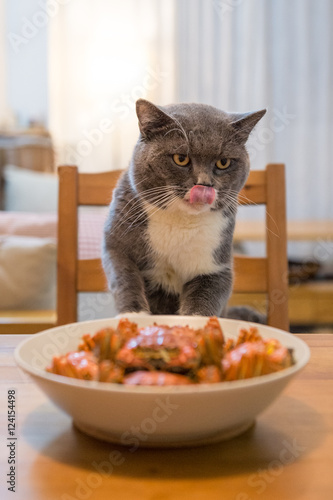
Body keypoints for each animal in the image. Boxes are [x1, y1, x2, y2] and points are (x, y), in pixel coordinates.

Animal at [101, 97, 264, 320]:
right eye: (181, 158)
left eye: (223, 162)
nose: (204, 184)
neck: (180, 221)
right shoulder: (115, 244)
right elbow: (125, 278)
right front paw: (134, 316)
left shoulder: (216, 265)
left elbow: (205, 297)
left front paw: (195, 323)